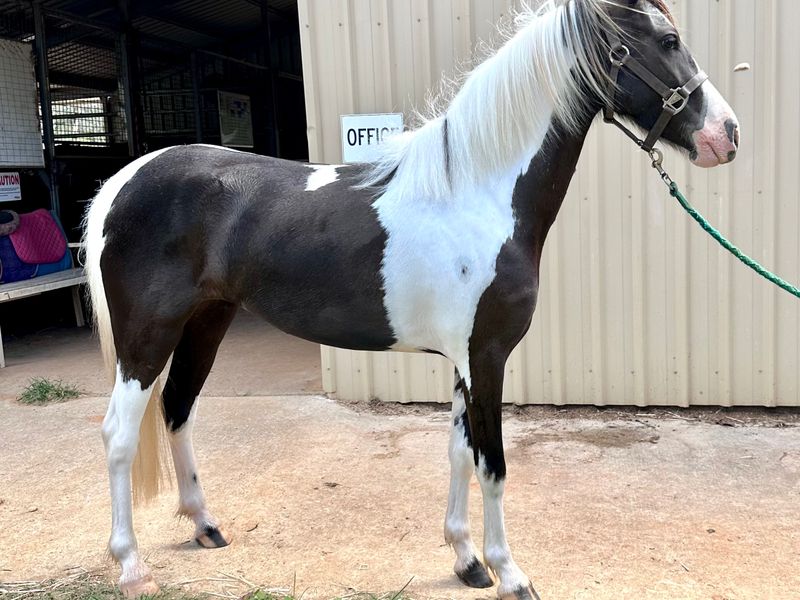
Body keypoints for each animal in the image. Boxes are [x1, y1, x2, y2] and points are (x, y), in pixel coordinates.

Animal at [83, 1, 739, 598]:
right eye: (669, 40)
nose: (727, 135)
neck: (479, 192)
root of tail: (123, 181)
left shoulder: (463, 361)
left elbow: (458, 452)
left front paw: (467, 560)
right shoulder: (486, 356)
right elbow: (492, 465)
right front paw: (510, 573)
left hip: (206, 322)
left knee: (178, 408)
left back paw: (204, 525)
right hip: (148, 334)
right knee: (119, 434)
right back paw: (132, 566)